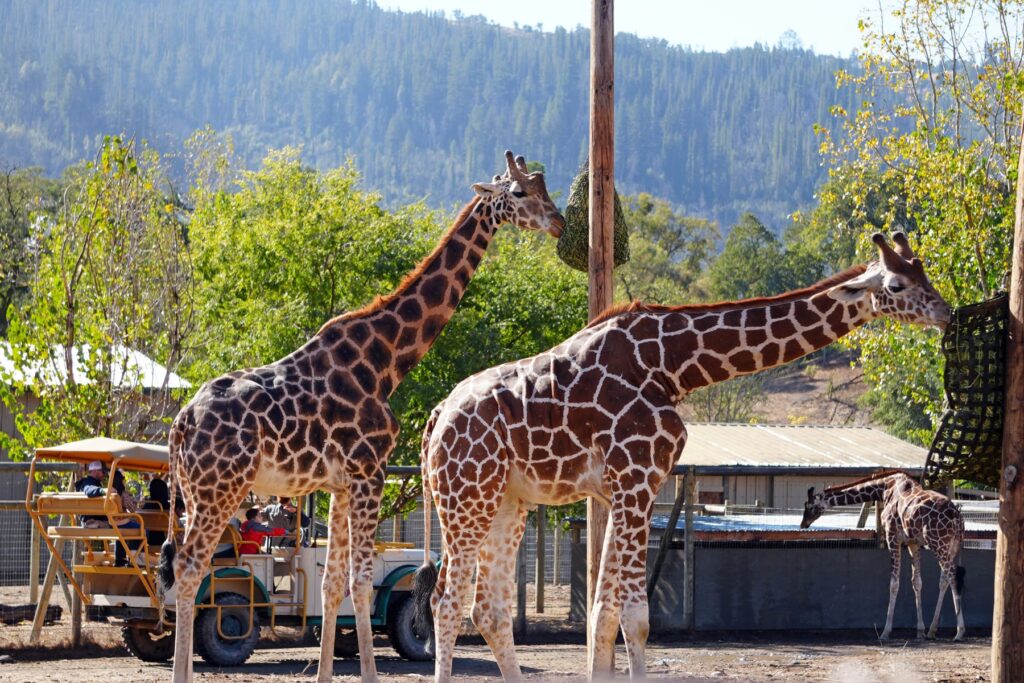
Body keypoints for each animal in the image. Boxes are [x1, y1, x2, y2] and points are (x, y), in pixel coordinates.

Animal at [157, 150, 569, 683]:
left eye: (544, 189)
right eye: (519, 193)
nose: (559, 222)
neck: (386, 360)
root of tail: (180, 424)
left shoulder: (337, 484)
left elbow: (332, 583)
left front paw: (324, 673)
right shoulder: (370, 470)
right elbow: (361, 582)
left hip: (194, 493)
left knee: (184, 570)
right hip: (219, 490)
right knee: (190, 570)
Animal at [798, 471, 966, 643]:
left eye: (809, 505)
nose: (803, 524)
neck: (884, 488)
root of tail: (956, 516)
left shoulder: (892, 537)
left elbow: (893, 584)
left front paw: (885, 632)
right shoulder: (913, 543)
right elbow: (917, 582)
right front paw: (920, 631)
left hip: (938, 543)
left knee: (951, 578)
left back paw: (953, 631)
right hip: (952, 545)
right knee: (947, 579)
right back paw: (939, 631)